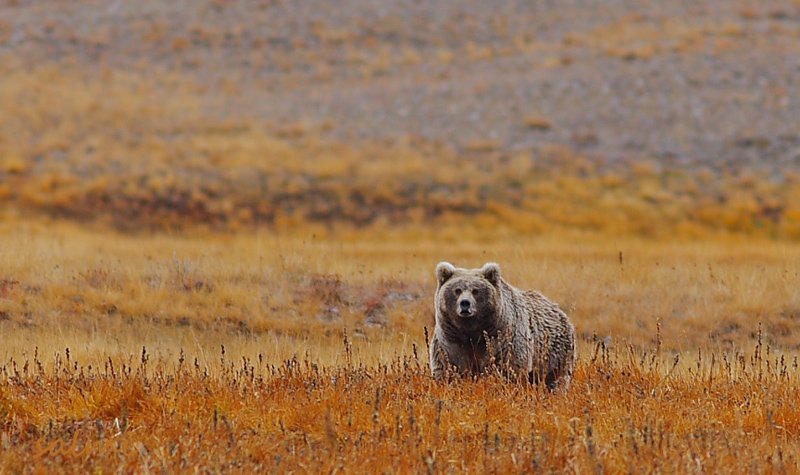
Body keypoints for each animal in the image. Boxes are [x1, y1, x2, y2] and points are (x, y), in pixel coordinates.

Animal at [432, 260, 576, 390]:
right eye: (457, 290)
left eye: (475, 291)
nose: (465, 303)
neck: (473, 331)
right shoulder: (451, 339)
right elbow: (447, 367)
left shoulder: (503, 338)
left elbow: (509, 368)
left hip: (555, 354)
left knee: (556, 379)